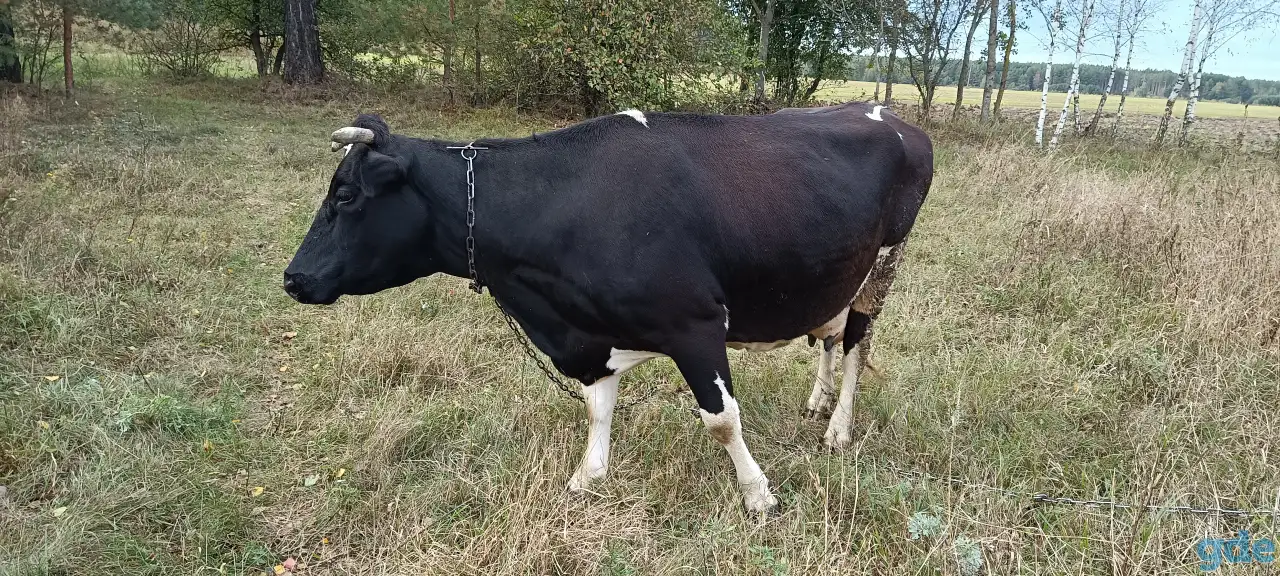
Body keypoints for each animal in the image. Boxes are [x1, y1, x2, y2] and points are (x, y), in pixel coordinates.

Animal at [283, 101, 933, 514]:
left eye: (346, 195)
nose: (292, 278)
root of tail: (887, 114)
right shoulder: (586, 336)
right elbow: (597, 407)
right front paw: (587, 476)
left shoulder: (695, 323)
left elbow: (722, 419)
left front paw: (758, 494)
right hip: (832, 276)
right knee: (828, 335)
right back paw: (818, 400)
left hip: (882, 266)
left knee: (856, 345)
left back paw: (838, 427)